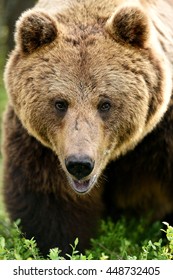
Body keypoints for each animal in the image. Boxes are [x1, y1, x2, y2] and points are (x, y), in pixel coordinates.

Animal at [2, 0, 173, 256]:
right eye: (60, 103)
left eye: (105, 103)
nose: (80, 164)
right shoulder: (39, 146)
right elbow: (49, 205)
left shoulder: (163, 134)